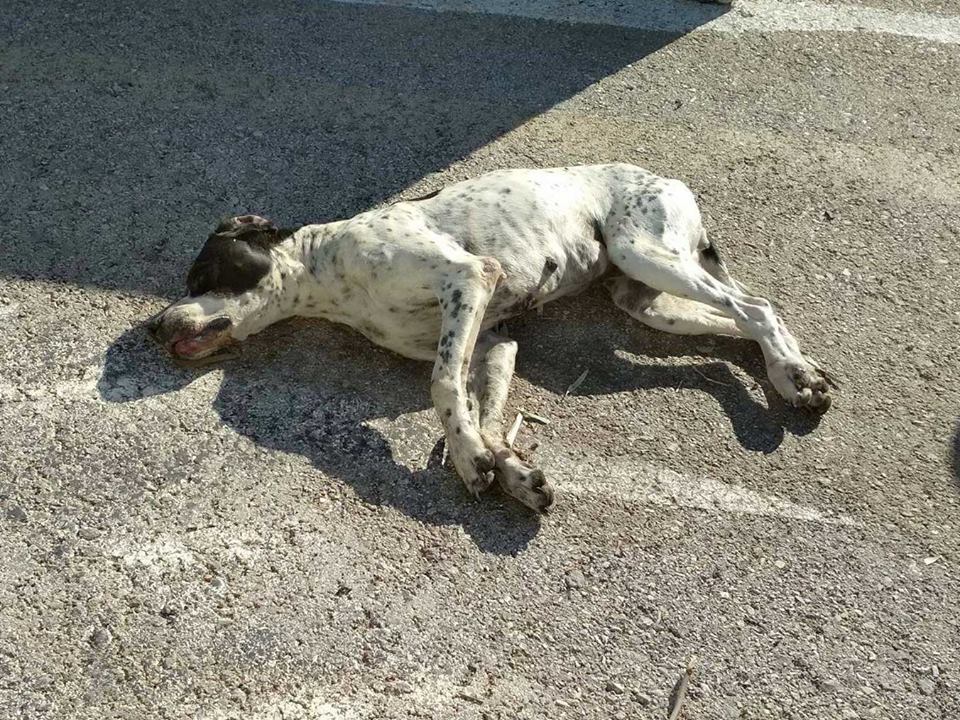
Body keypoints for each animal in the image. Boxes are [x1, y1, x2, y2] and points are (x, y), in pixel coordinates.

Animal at [148, 163, 833, 511]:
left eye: (201, 275)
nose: (154, 328)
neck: (329, 267)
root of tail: (667, 177)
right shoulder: (494, 339)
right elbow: (488, 413)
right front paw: (508, 469)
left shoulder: (470, 278)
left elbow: (443, 385)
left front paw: (465, 458)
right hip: (643, 299)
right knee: (737, 327)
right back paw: (792, 370)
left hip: (644, 253)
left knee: (757, 307)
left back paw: (794, 379)